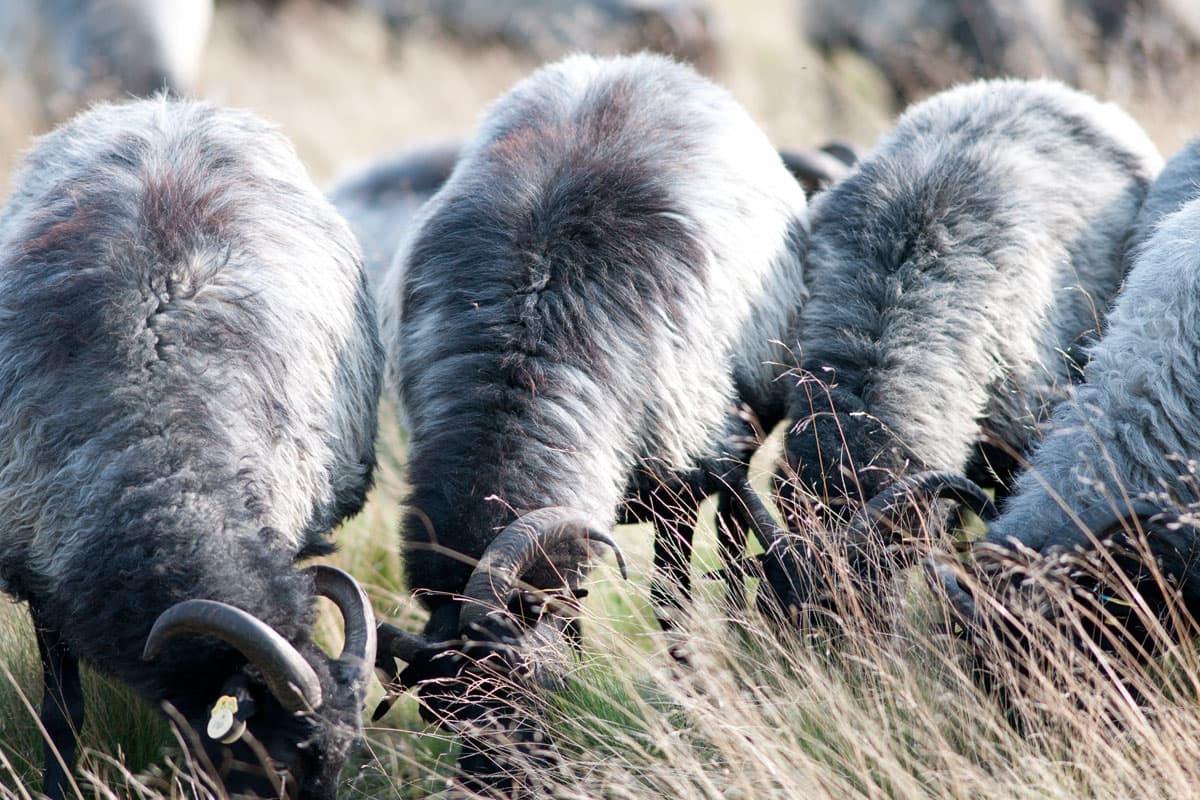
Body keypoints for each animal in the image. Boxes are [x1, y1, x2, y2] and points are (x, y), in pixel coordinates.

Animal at [369, 53, 811, 786]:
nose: (489, 789)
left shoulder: (676, 492)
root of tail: (628, 63)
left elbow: (670, 607)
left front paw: (692, 700)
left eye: (518, 682)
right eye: (437, 712)